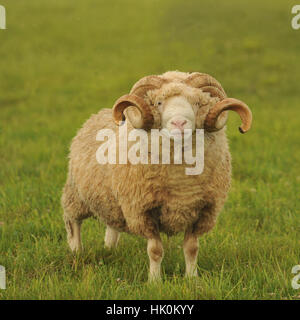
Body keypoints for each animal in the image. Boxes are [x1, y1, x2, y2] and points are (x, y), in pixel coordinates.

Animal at [61, 70, 253, 280]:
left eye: (196, 102)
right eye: (159, 102)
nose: (179, 123)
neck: (181, 182)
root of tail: (98, 114)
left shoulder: (202, 211)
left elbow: (192, 248)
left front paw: (192, 278)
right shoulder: (143, 210)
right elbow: (155, 250)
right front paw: (155, 281)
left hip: (112, 200)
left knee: (112, 225)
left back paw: (109, 249)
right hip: (76, 194)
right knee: (72, 221)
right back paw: (76, 251)